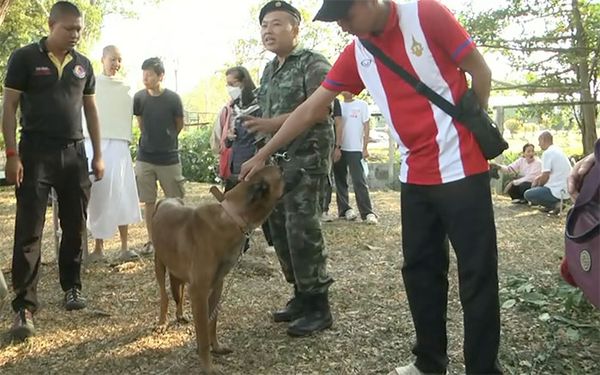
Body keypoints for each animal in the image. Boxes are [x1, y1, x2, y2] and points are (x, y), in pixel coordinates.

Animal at [152, 166, 286, 374]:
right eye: (281, 173)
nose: (295, 167)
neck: (233, 216)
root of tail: (167, 199)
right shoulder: (199, 292)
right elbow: (202, 333)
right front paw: (207, 366)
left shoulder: (217, 286)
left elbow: (212, 323)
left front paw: (216, 347)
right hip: (159, 264)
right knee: (164, 296)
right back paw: (161, 322)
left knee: (178, 292)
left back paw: (180, 315)